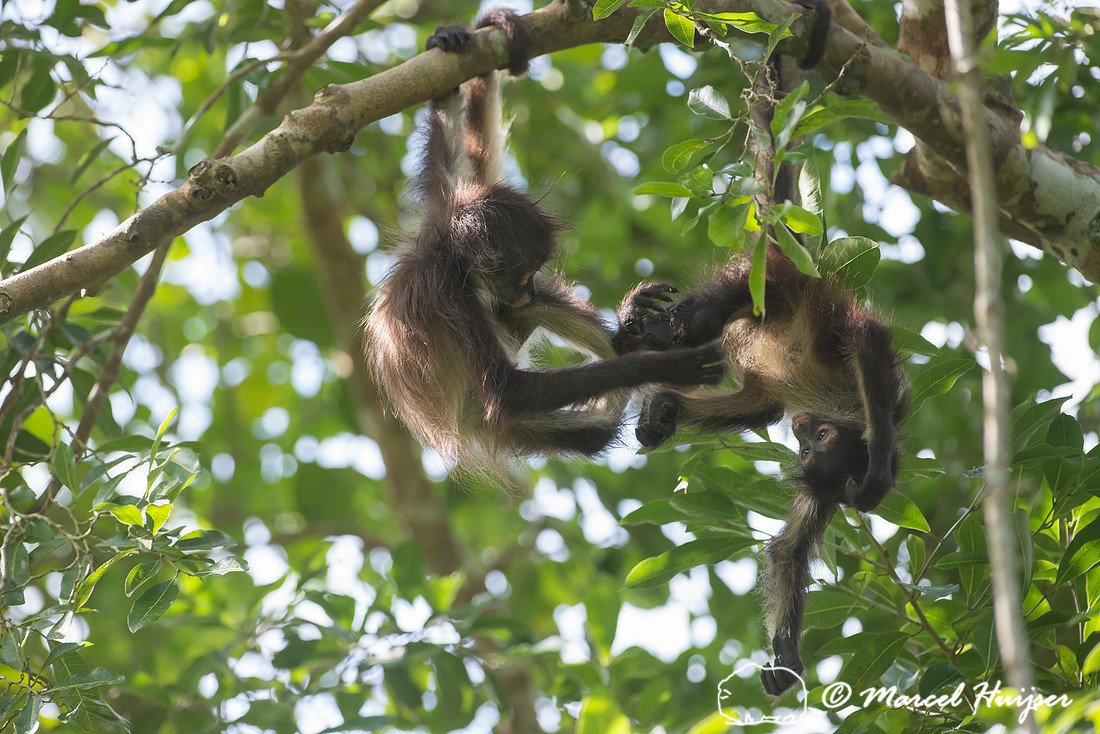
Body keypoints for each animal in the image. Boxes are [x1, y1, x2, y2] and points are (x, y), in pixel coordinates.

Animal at [363, 9, 725, 480]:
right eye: (522, 275)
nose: (529, 287)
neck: (449, 256)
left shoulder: (443, 218)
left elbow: (445, 157)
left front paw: (446, 51)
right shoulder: (449, 293)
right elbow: (507, 394)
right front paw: (667, 366)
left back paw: (631, 336)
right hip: (497, 420)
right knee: (589, 434)